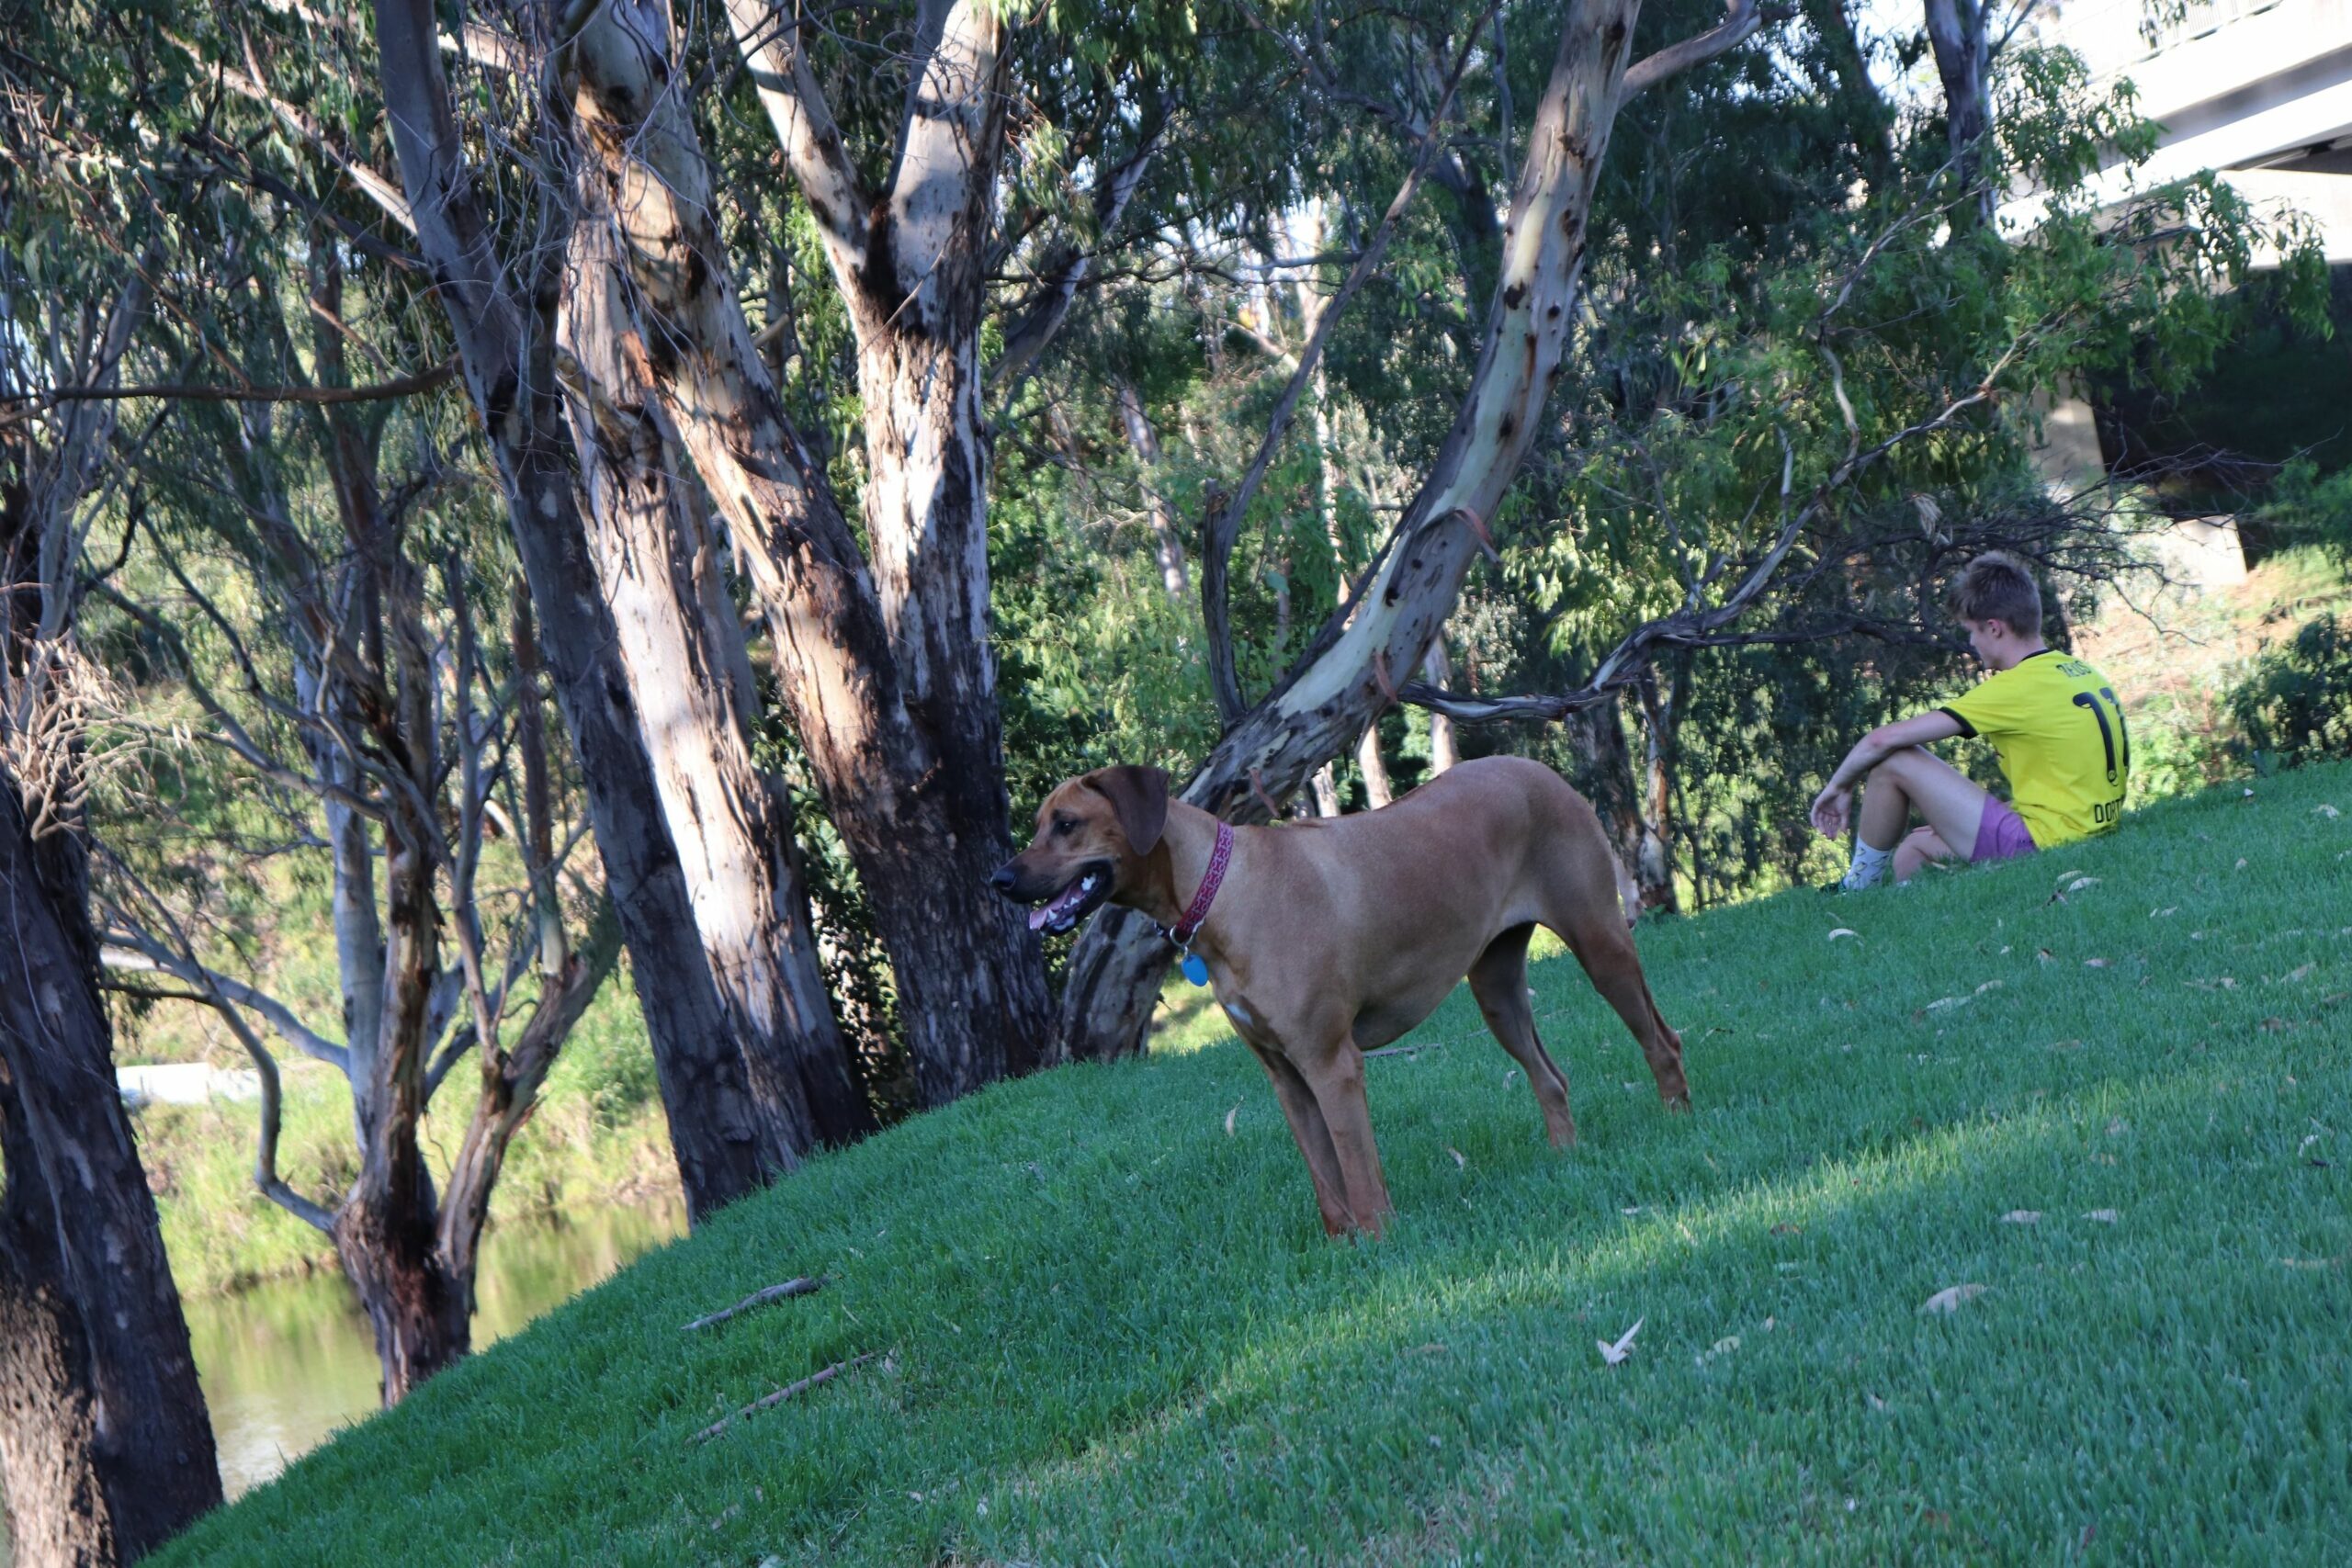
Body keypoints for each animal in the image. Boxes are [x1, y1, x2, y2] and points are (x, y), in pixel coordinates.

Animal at [992, 761, 1693, 1241]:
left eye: (1067, 824)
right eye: (1038, 825)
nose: (999, 878)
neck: (1222, 891)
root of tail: (1542, 769)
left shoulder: (1331, 1063)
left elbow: (1356, 1169)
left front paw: (1380, 1242)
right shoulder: (1287, 1077)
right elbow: (1325, 1177)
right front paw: (1341, 1249)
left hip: (1600, 944)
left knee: (1662, 1039)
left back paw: (1675, 1121)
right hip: (1496, 991)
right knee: (1549, 1075)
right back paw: (1564, 1156)